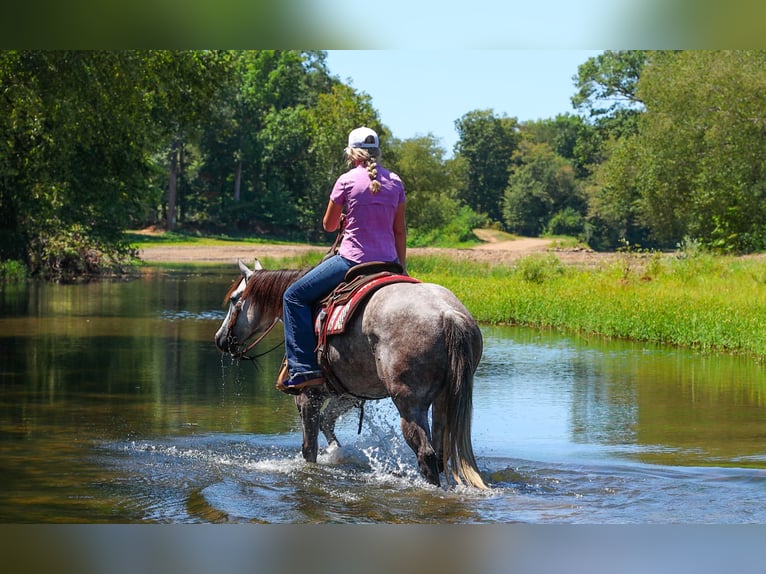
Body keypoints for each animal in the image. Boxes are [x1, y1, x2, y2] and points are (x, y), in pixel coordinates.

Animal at [214, 259, 487, 490]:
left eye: (235, 299)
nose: (220, 339)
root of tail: (447, 313)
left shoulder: (307, 396)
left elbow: (309, 448)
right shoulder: (348, 393)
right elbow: (327, 422)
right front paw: (337, 452)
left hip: (410, 404)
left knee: (426, 453)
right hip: (443, 400)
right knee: (440, 452)